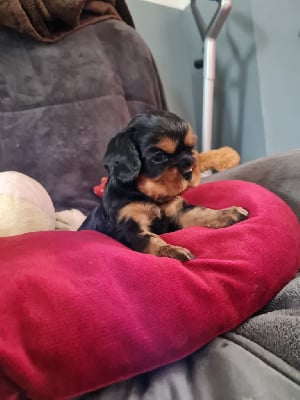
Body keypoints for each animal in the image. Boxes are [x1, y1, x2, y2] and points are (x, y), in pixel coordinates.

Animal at [78, 111, 247, 260]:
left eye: (190, 148)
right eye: (158, 157)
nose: (189, 171)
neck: (148, 195)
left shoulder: (177, 211)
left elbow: (199, 211)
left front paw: (226, 213)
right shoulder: (128, 226)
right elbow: (150, 238)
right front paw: (170, 250)